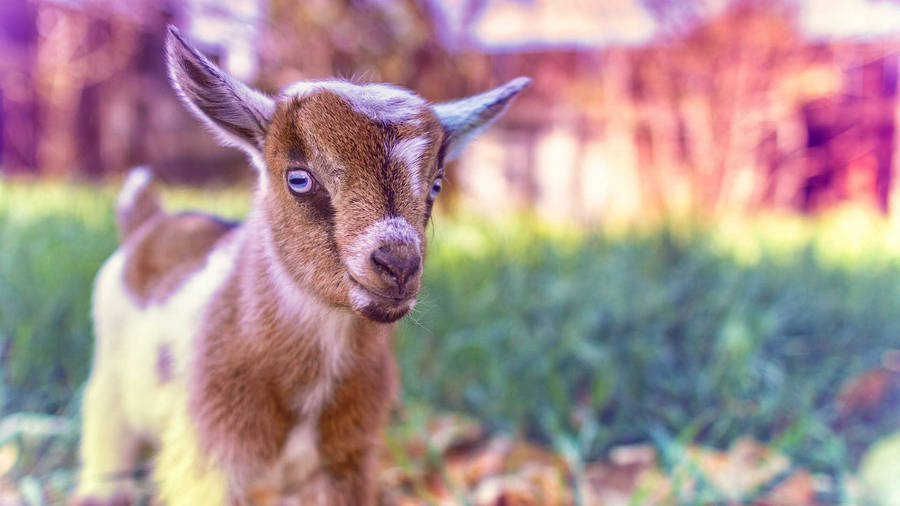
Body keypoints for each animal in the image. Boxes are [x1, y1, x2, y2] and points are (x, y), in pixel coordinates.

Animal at [72, 25, 529, 506]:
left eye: (436, 184)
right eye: (299, 178)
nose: (399, 265)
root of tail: (148, 221)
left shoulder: (348, 460)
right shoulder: (207, 459)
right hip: (108, 378)